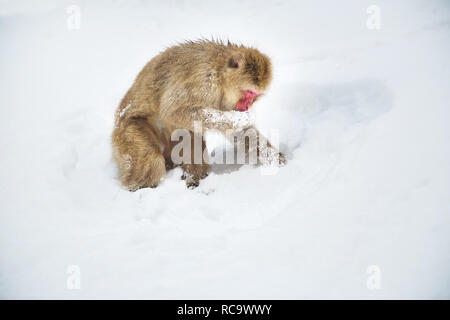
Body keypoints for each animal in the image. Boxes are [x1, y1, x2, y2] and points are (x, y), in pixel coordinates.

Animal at [112, 39, 286, 190]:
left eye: (254, 95)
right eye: (248, 93)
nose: (247, 105)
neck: (219, 72)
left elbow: (240, 133)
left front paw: (275, 159)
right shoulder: (203, 81)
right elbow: (172, 111)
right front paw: (238, 119)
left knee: (188, 132)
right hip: (128, 130)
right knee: (152, 154)